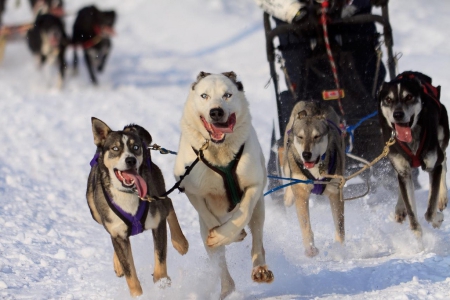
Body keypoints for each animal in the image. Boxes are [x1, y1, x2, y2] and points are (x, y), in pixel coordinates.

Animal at [88, 118, 188, 298]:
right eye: (115, 148)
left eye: (135, 147)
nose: (131, 160)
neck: (129, 193)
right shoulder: (117, 231)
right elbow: (130, 273)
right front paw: (138, 295)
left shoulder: (157, 223)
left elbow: (160, 260)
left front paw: (162, 283)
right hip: (95, 211)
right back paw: (118, 265)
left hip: (158, 192)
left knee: (168, 202)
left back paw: (180, 242)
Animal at [175, 71, 274, 298]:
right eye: (204, 96)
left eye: (227, 95)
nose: (216, 112)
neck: (219, 151)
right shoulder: (191, 189)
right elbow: (209, 217)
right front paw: (223, 235)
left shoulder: (254, 186)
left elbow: (243, 214)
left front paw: (230, 233)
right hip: (204, 233)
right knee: (219, 261)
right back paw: (227, 288)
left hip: (260, 209)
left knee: (257, 240)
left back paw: (260, 269)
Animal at [284, 101, 346, 258]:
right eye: (300, 137)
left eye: (316, 136)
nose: (306, 154)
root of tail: (313, 101)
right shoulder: (301, 193)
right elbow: (305, 225)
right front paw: (310, 249)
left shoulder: (336, 194)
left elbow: (339, 225)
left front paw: (340, 248)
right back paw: (288, 196)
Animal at [378, 71, 448, 239]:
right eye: (388, 99)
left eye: (409, 97)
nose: (397, 114)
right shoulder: (402, 170)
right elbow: (411, 210)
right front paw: (416, 232)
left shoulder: (433, 165)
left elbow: (430, 211)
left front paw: (437, 219)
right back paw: (400, 208)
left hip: (442, 138)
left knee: (444, 162)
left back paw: (442, 197)